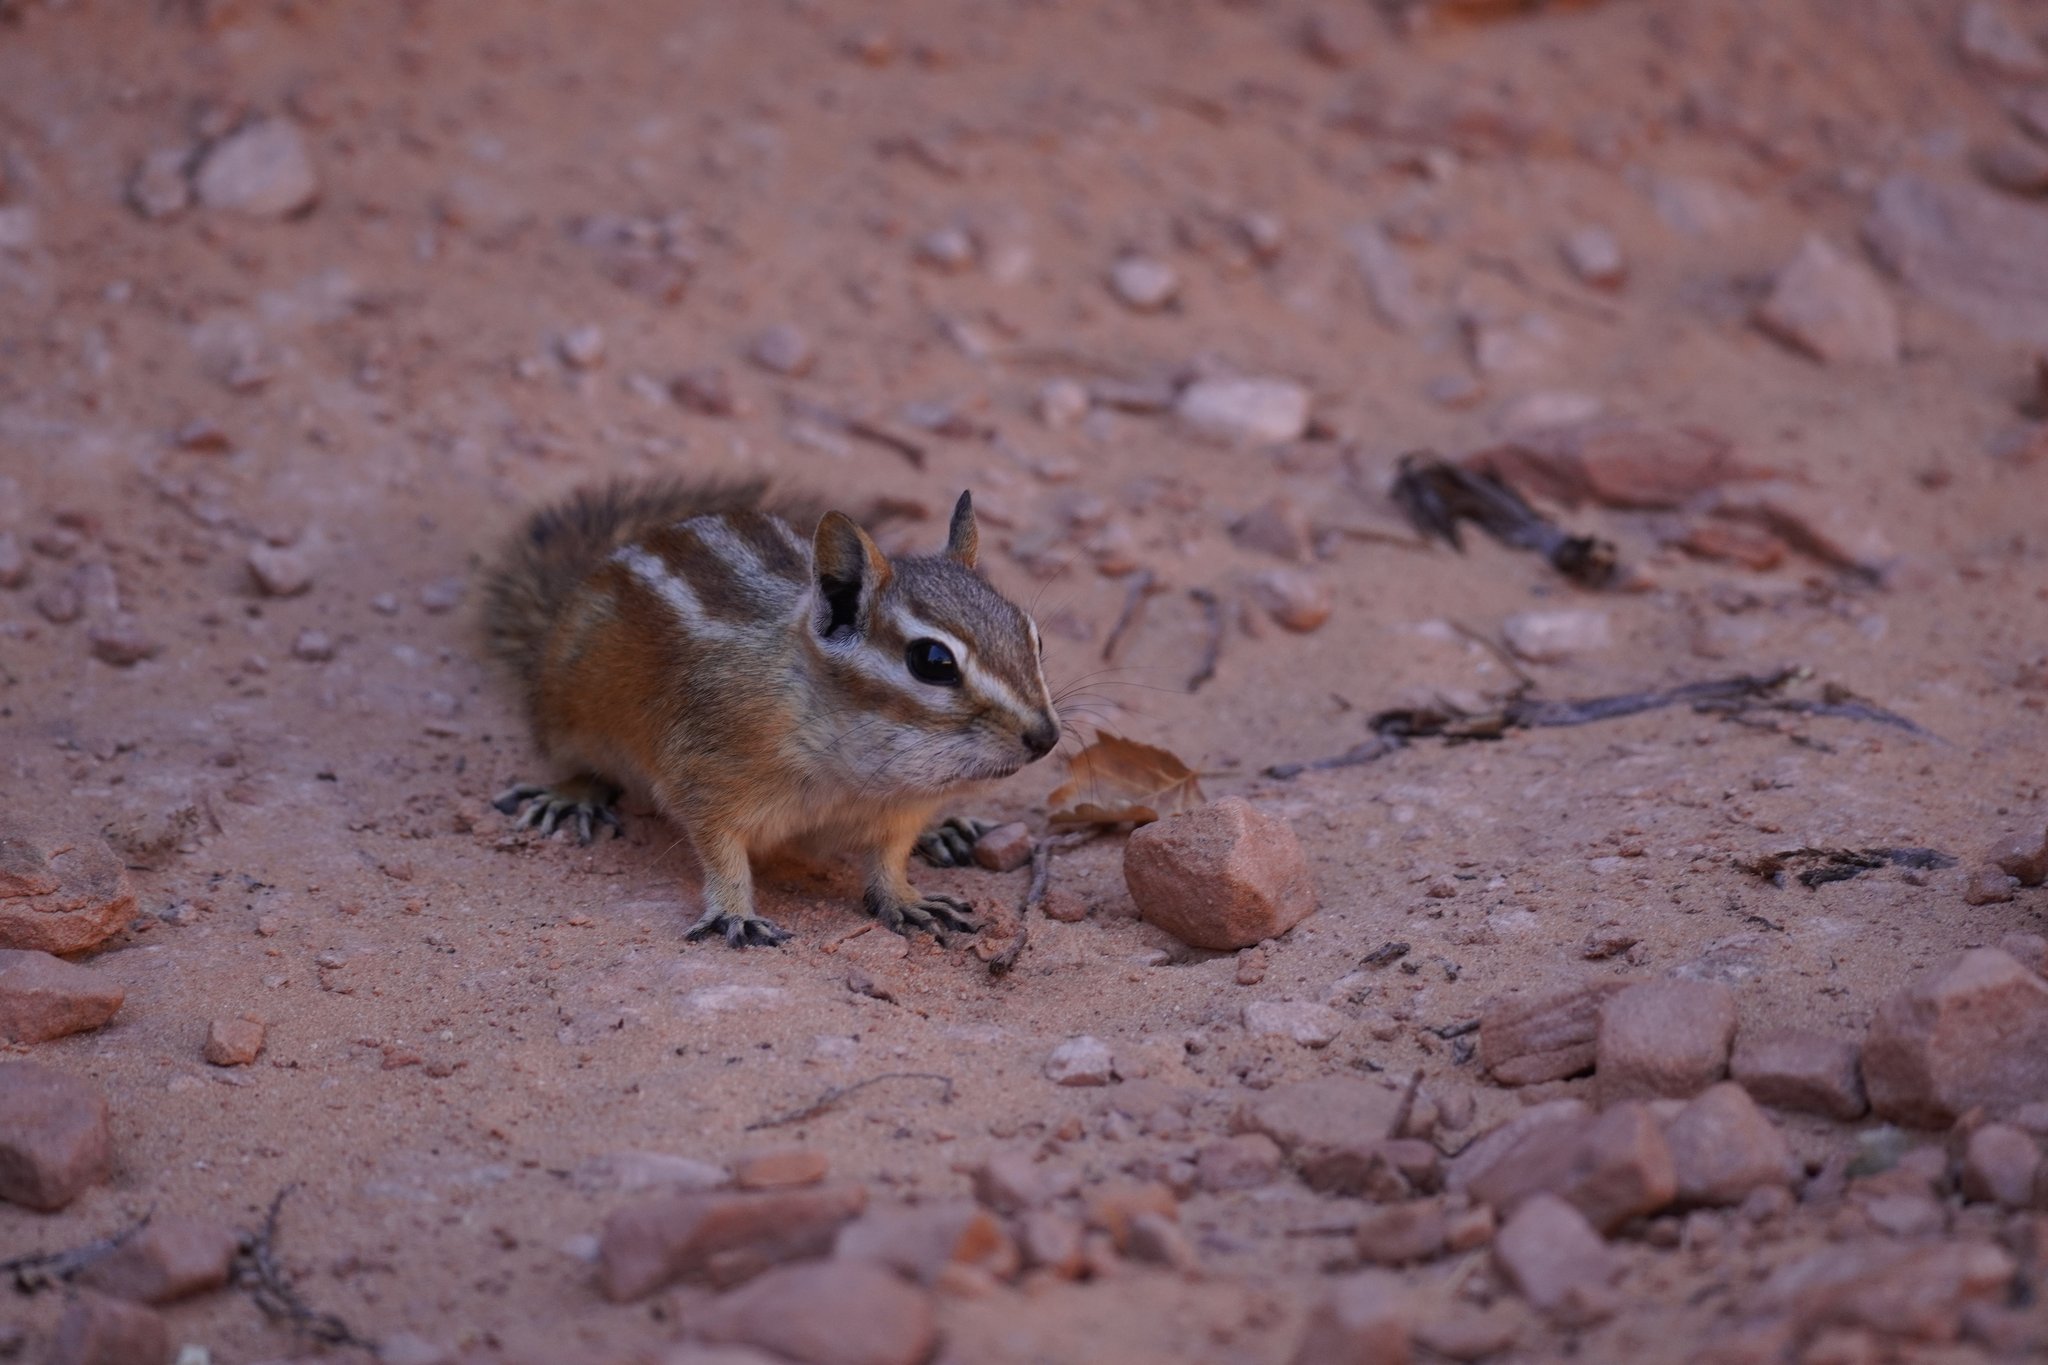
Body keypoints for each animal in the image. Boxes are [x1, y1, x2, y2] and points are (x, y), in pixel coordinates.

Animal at [480, 478, 1061, 948]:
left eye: (1033, 636)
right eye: (933, 661)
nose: (1047, 737)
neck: (856, 768)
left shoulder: (901, 810)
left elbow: (890, 857)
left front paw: (907, 897)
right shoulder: (704, 773)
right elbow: (720, 851)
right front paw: (734, 912)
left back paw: (947, 831)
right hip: (568, 714)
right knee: (578, 760)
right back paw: (571, 795)